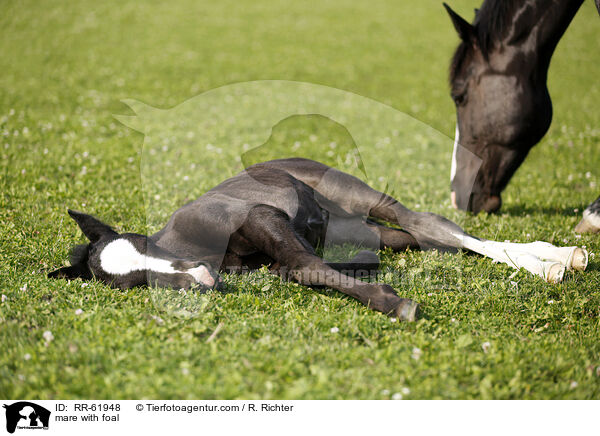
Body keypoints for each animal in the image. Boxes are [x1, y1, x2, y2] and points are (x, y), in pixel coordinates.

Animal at [50, 158, 584, 322]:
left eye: (147, 246)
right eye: (134, 283)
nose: (199, 278)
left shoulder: (260, 215)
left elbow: (304, 266)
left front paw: (394, 303)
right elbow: (299, 268)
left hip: (360, 196)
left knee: (428, 223)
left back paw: (553, 261)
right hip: (357, 227)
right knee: (418, 238)